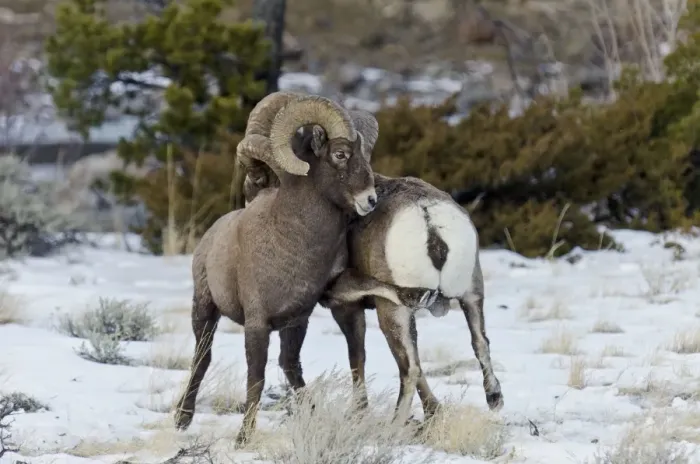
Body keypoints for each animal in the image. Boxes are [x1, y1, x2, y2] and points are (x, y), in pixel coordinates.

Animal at [172, 91, 391, 447]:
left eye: (365, 155)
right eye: (340, 154)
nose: (370, 200)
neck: (292, 243)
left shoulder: (297, 321)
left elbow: (299, 366)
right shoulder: (257, 325)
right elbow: (256, 379)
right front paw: (243, 438)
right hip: (204, 310)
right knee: (201, 358)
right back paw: (182, 419)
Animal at [239, 108, 503, 426]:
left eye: (259, 174)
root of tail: (429, 220)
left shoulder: (346, 306)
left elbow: (357, 357)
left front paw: (360, 412)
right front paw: (433, 412)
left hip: (393, 311)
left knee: (409, 368)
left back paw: (394, 425)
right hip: (472, 294)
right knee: (479, 342)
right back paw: (494, 398)